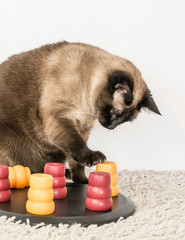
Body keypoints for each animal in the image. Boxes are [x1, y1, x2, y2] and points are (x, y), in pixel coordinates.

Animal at [0, 41, 160, 184]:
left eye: (124, 121)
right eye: (114, 112)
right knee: (31, 168)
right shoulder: (61, 117)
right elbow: (76, 144)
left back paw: (66, 174)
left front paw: (82, 181)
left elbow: (77, 162)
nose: (111, 126)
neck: (87, 110)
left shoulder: (83, 128)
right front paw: (92, 158)